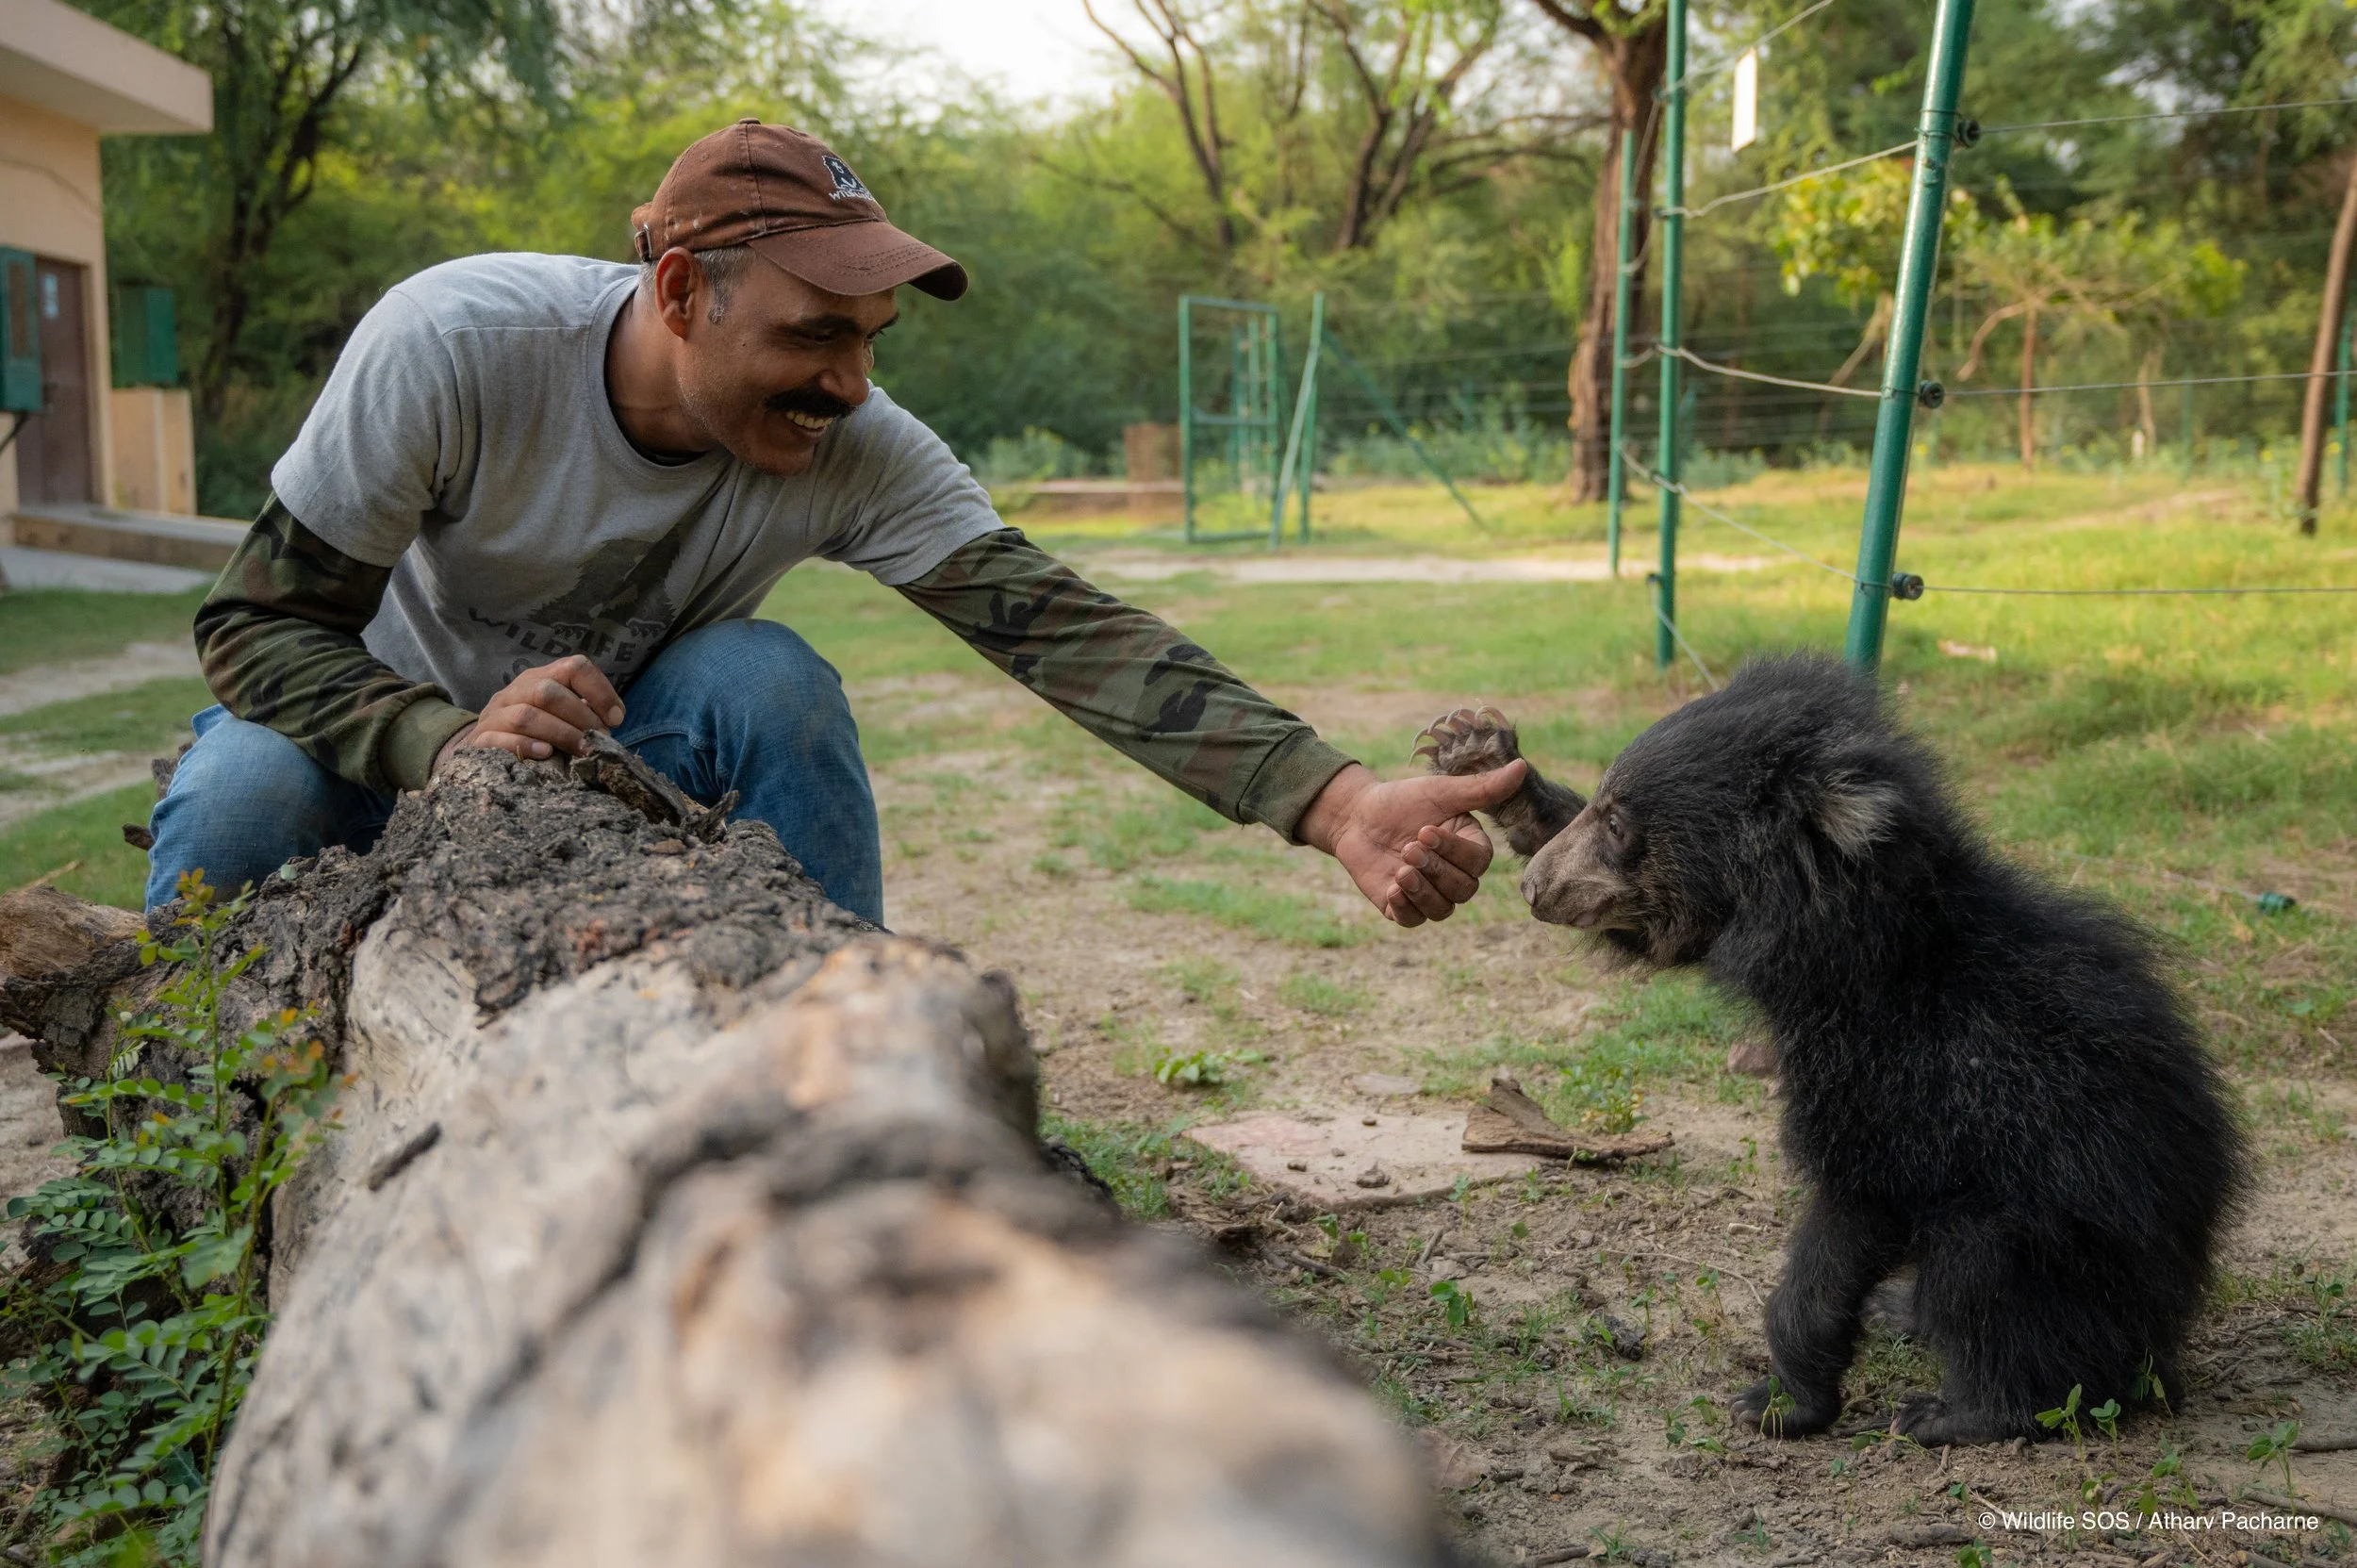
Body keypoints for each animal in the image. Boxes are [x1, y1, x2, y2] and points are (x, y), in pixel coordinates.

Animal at [1416, 655, 2246, 1445]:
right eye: (1598, 804)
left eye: (1621, 825)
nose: (1534, 887)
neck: (1861, 945)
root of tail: (2168, 1319)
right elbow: (1657, 935)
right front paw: (1474, 748)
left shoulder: (1888, 1076)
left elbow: (1850, 1209)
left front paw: (1778, 1402)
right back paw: (1904, 1312)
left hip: (2054, 1240)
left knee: (1990, 1282)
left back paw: (1959, 1411)